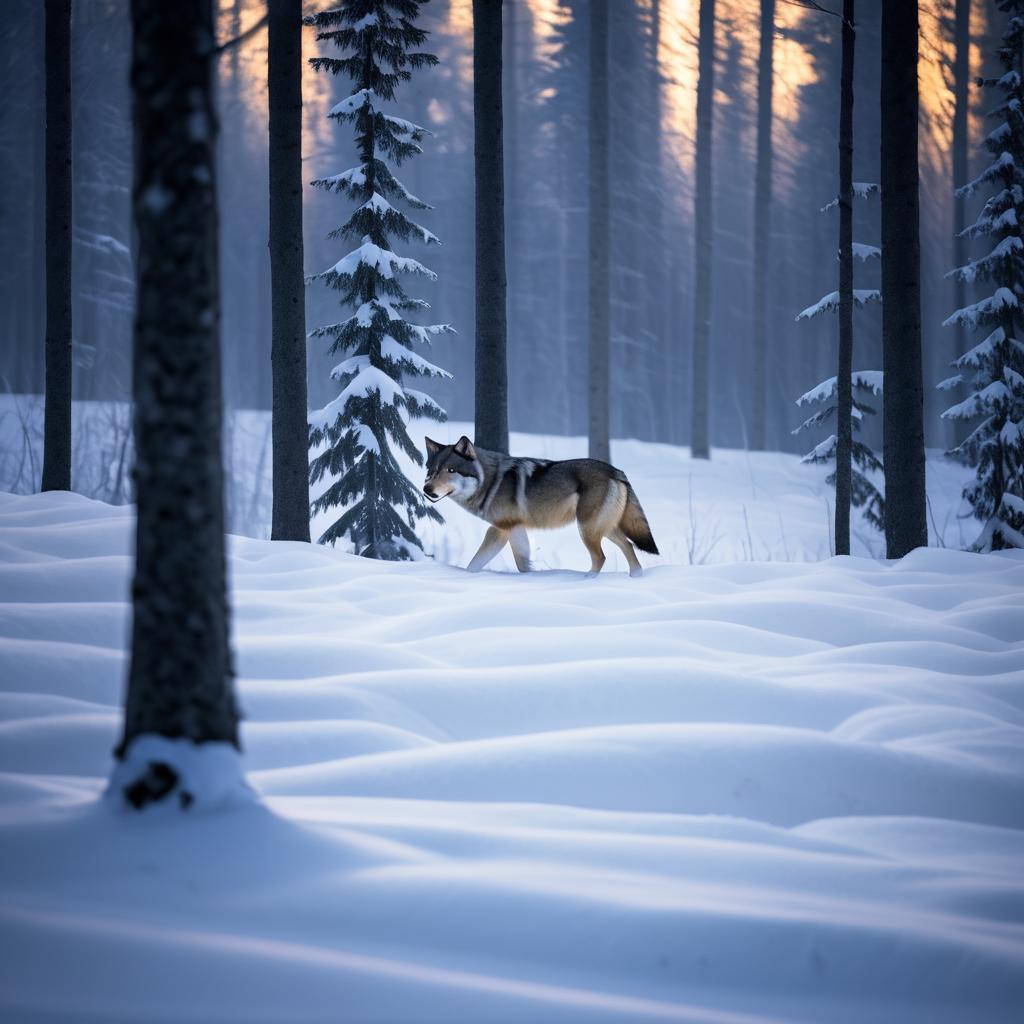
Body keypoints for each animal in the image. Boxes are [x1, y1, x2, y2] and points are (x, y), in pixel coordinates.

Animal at [421, 432, 655, 577]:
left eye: (451, 470)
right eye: (432, 471)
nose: (427, 490)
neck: (491, 482)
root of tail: (616, 471)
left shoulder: (505, 528)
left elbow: (518, 563)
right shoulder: (505, 529)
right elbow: (477, 564)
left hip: (587, 529)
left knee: (601, 557)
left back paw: (586, 580)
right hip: (604, 529)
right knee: (629, 547)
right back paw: (636, 577)